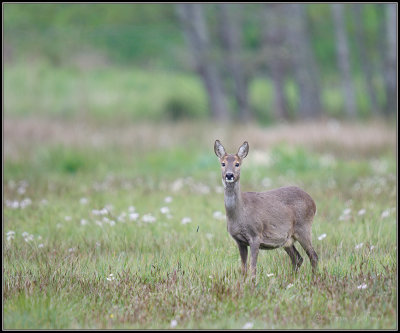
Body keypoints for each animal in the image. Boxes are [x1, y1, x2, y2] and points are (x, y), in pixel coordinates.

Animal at [214, 139, 320, 278]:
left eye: (237, 164)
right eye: (223, 163)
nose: (229, 175)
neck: (240, 214)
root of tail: (313, 202)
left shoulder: (255, 236)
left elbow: (253, 268)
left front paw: (252, 283)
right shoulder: (239, 241)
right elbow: (243, 269)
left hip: (304, 228)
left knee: (313, 256)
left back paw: (314, 279)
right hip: (287, 239)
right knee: (298, 258)